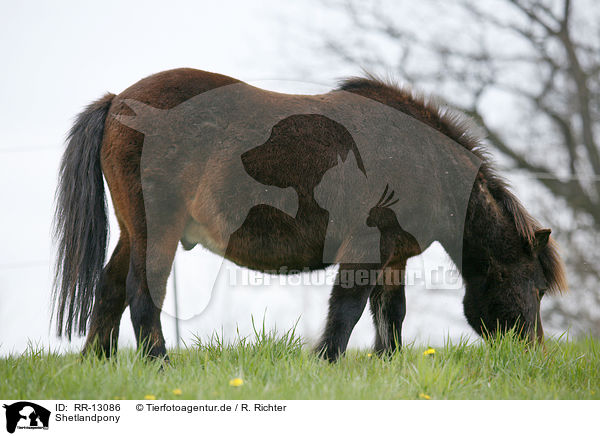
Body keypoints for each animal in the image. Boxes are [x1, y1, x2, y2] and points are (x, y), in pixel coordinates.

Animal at [52, 68, 568, 362]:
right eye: (537, 288)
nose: (534, 355)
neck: (420, 160)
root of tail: (118, 102)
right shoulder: (366, 250)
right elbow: (347, 310)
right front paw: (327, 361)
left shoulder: (393, 257)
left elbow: (391, 314)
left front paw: (388, 365)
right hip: (156, 230)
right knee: (142, 293)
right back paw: (159, 364)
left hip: (132, 231)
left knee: (110, 289)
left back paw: (98, 361)